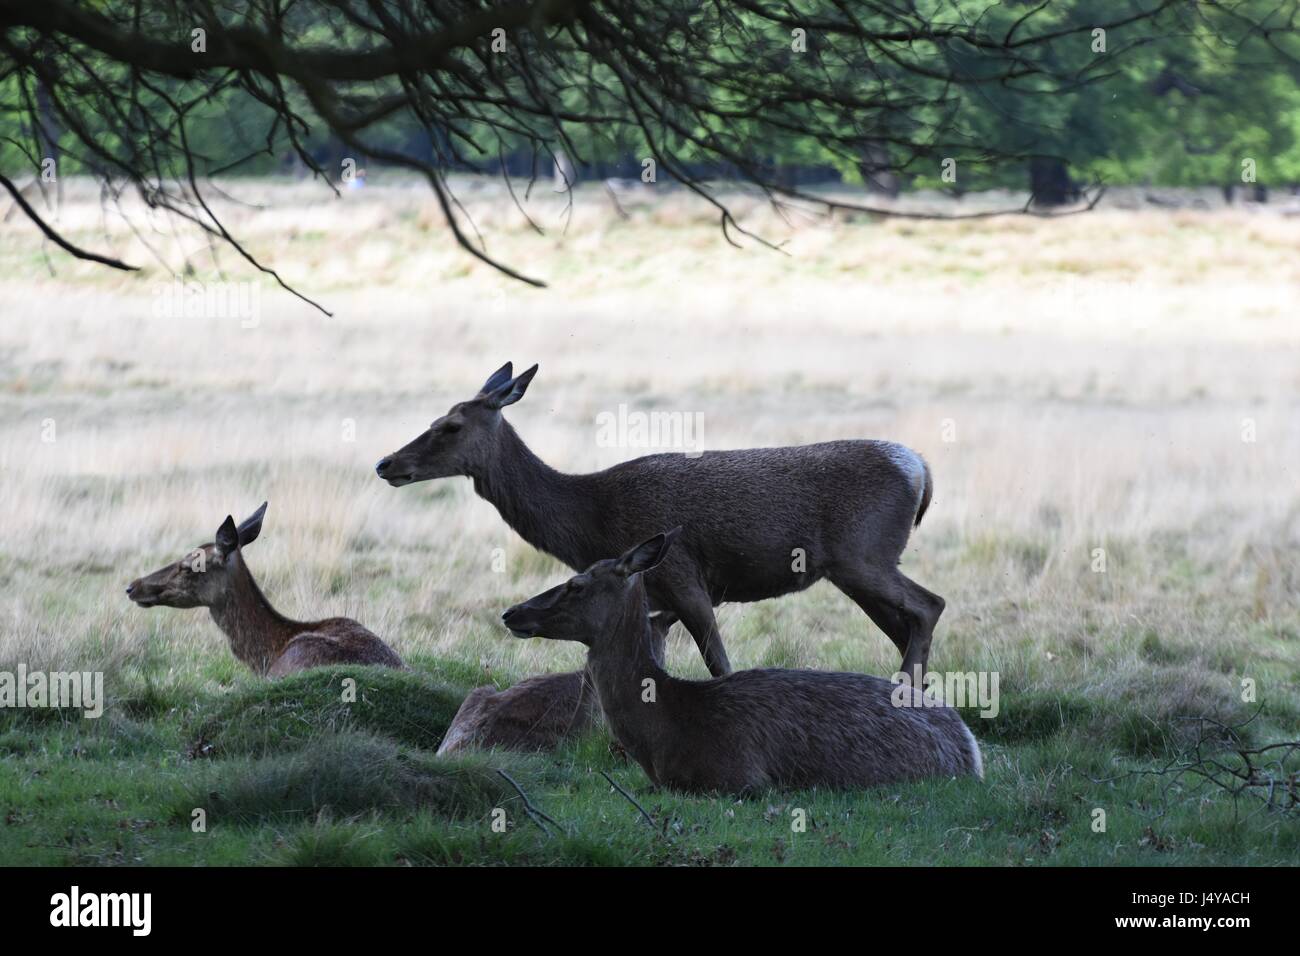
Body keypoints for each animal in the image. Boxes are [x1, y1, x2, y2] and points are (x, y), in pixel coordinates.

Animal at [377, 361, 946, 686]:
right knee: (908, 624)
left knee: (930, 604)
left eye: (450, 426)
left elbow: (719, 665)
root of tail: (921, 468)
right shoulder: (656, 603)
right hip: (855, 567)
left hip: (862, 553)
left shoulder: (684, 578)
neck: (590, 516)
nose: (386, 463)